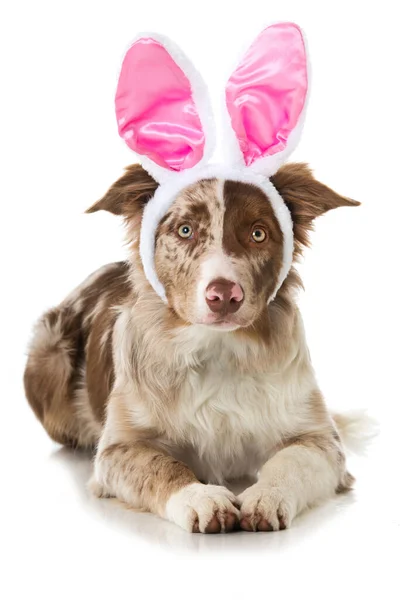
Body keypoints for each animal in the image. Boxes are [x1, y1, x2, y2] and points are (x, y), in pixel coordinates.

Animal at [25, 162, 362, 532]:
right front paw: (200, 498)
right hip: (49, 357)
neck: (217, 350)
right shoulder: (117, 449)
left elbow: (291, 462)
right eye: (185, 230)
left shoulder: (321, 440)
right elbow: (162, 467)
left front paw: (266, 496)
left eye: (258, 234)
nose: (224, 296)